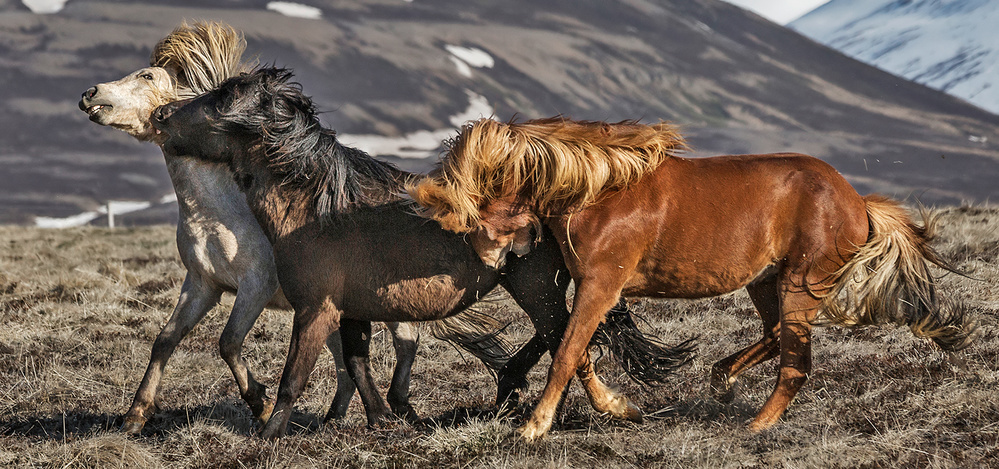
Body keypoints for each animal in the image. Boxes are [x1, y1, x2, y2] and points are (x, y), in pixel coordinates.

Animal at [410, 116, 980, 438]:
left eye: (479, 186)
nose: (489, 255)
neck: (600, 192)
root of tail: (856, 201)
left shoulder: (601, 286)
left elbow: (568, 352)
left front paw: (533, 428)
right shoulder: (582, 288)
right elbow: (573, 350)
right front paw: (618, 409)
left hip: (800, 284)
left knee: (795, 363)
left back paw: (756, 425)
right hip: (765, 282)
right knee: (776, 336)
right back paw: (722, 379)